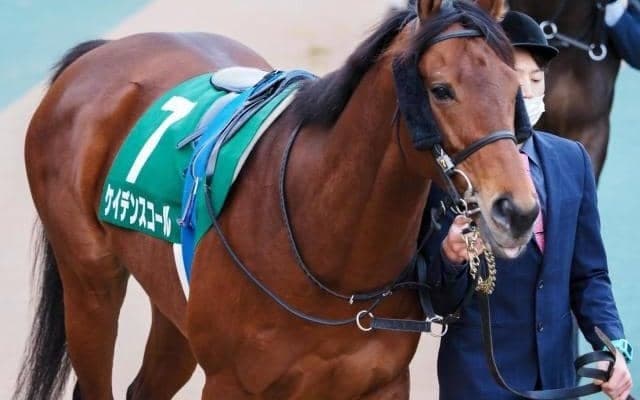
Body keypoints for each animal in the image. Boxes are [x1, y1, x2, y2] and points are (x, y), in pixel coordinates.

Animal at [15, 0, 539, 399]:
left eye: (515, 86)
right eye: (441, 89)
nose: (516, 211)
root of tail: (100, 53)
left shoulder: (380, 383)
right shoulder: (232, 384)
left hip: (174, 307)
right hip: (90, 285)